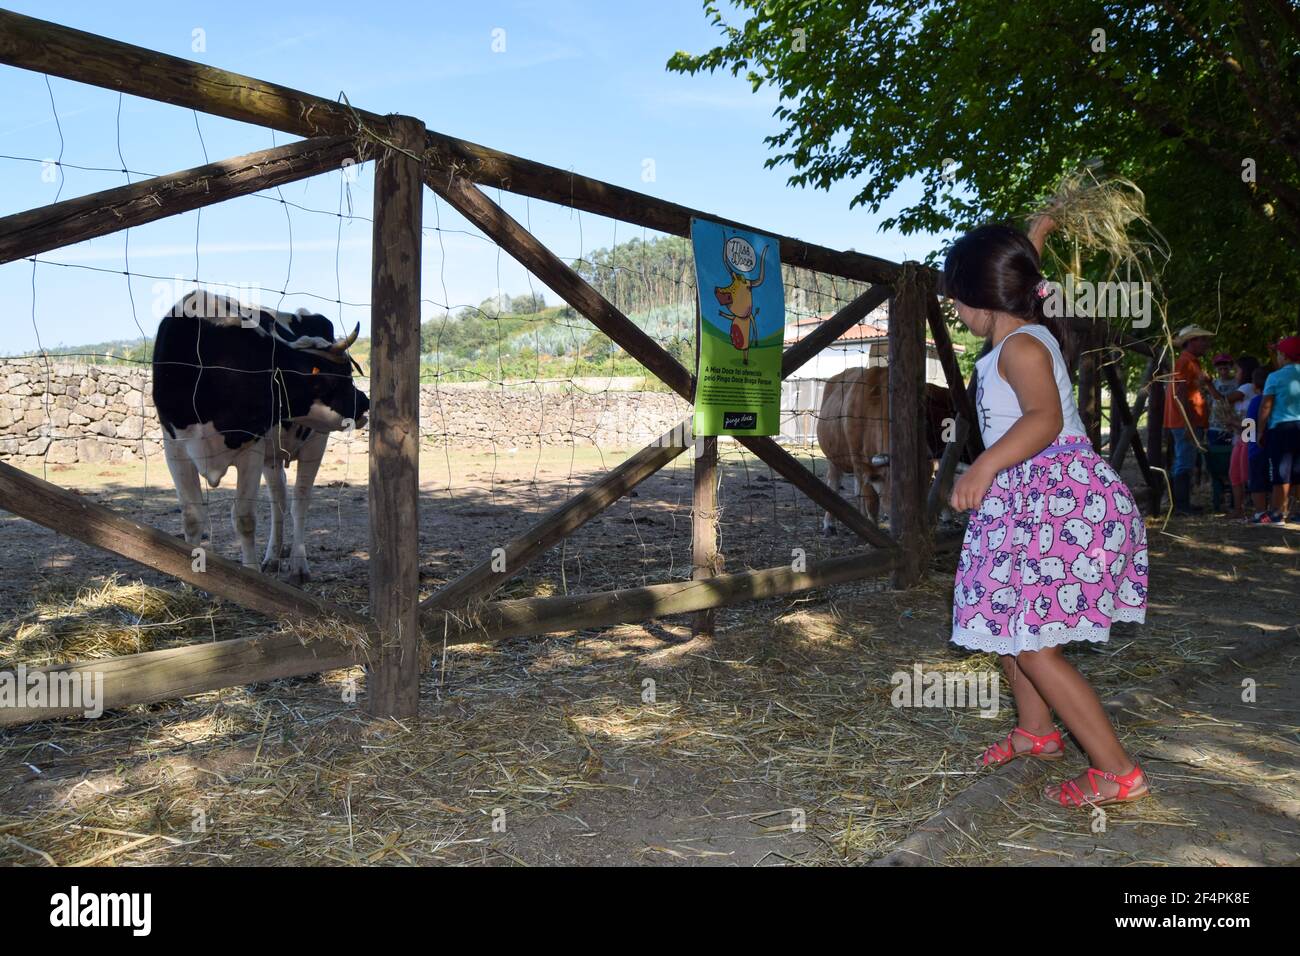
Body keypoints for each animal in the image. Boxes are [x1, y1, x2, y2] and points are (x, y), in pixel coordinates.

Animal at [156, 287, 371, 580]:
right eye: (344, 374)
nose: (365, 402)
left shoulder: (252, 447)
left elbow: (244, 518)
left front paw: (250, 575)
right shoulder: (175, 448)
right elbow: (191, 518)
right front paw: (191, 580)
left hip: (315, 442)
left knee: (300, 501)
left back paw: (298, 565)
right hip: (273, 455)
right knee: (278, 498)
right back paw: (273, 557)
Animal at [816, 364, 951, 535]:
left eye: (928, 484)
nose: (926, 522)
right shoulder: (861, 463)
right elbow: (872, 502)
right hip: (833, 458)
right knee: (834, 483)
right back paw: (829, 524)